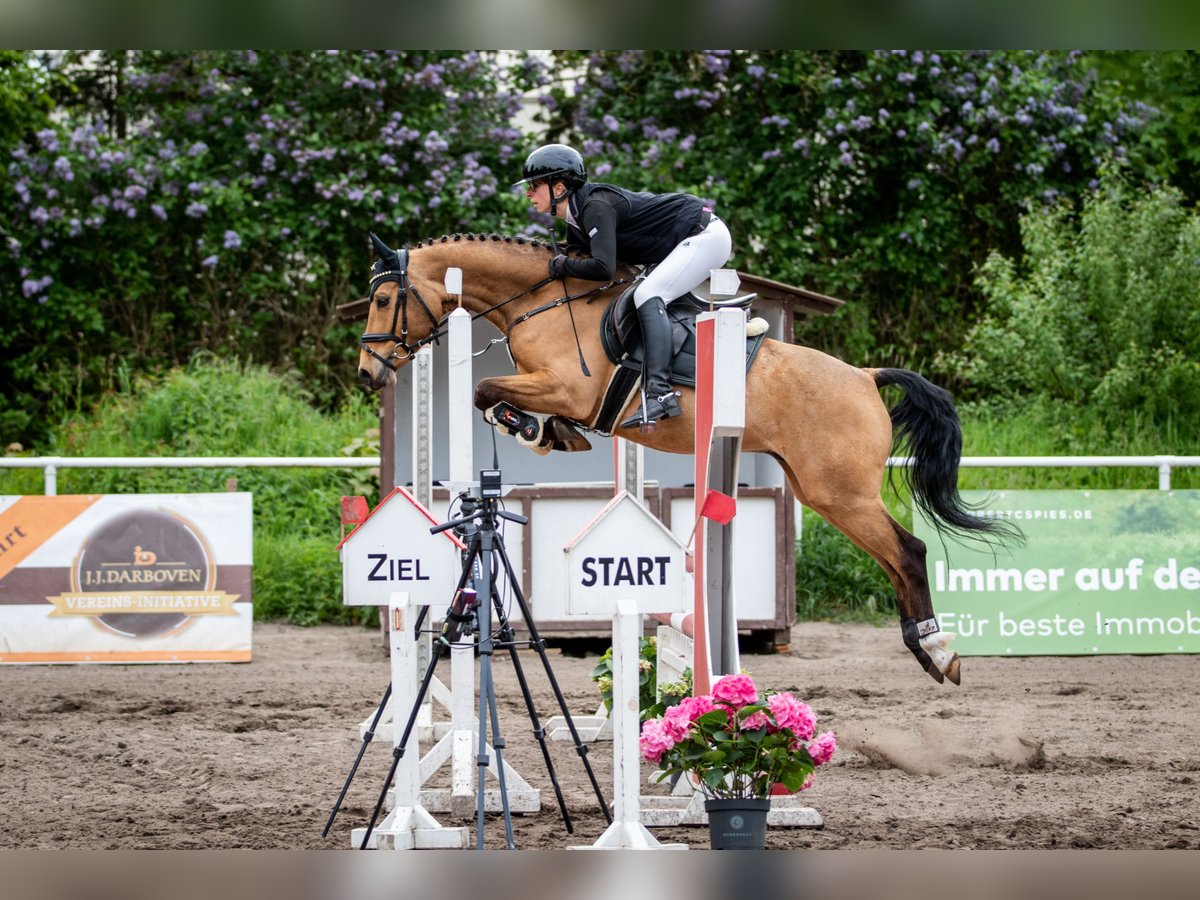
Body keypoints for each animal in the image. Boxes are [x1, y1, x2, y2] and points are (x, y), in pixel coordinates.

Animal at [352, 230, 1012, 681]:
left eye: (384, 299)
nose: (367, 373)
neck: (538, 302)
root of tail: (866, 376)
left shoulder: (567, 386)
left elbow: (486, 390)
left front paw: (536, 430)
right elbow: (489, 395)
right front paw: (549, 434)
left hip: (840, 492)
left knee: (909, 551)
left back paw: (939, 651)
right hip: (817, 490)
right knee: (893, 558)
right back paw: (925, 647)